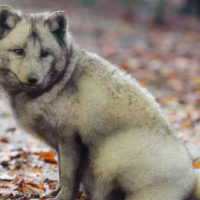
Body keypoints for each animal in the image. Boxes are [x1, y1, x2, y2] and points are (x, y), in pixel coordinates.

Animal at [0, 5, 199, 200]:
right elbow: (61, 173)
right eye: (19, 51)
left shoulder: (69, 139)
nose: (33, 79)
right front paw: (54, 193)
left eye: (44, 54)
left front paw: (63, 197)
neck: (58, 82)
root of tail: (191, 177)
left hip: (108, 157)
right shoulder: (59, 144)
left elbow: (68, 176)